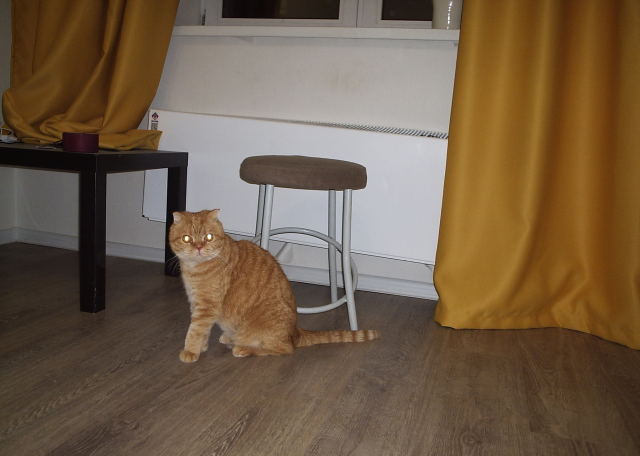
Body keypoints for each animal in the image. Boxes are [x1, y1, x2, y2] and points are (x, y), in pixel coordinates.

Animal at [169, 209, 379, 362]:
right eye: (187, 239)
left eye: (209, 237)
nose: (198, 247)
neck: (194, 268)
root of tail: (294, 332)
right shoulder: (197, 303)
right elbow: (201, 330)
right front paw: (201, 347)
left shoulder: (207, 306)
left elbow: (195, 330)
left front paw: (190, 351)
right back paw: (230, 338)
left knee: (282, 349)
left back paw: (243, 348)